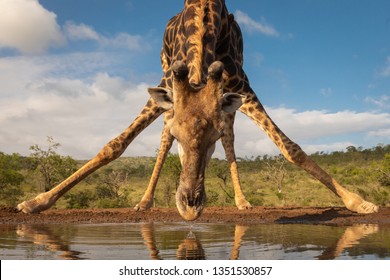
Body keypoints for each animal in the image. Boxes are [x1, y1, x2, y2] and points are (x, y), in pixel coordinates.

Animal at [16, 0, 378, 221]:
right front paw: (36, 202)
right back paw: (144, 202)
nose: (190, 208)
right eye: (180, 134)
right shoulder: (166, 88)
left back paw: (242, 202)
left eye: (211, 138)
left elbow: (290, 148)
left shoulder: (241, 86)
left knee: (233, 141)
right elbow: (115, 145)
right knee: (159, 141)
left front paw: (358, 202)